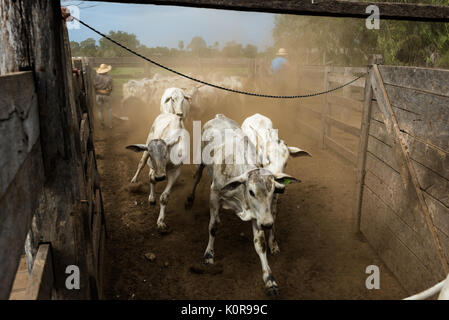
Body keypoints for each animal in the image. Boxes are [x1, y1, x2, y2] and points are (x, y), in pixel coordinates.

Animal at [184, 114, 300, 296]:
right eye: (251, 191)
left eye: (272, 191)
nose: (268, 224)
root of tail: (218, 116)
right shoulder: (215, 195)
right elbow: (213, 226)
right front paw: (209, 254)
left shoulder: (258, 215)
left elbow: (260, 243)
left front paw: (270, 280)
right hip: (200, 161)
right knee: (196, 176)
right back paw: (190, 198)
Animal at [242, 114, 312, 254]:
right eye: (267, 159)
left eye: (286, 162)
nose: (281, 188)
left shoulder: (273, 196)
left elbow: (273, 214)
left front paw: (273, 245)